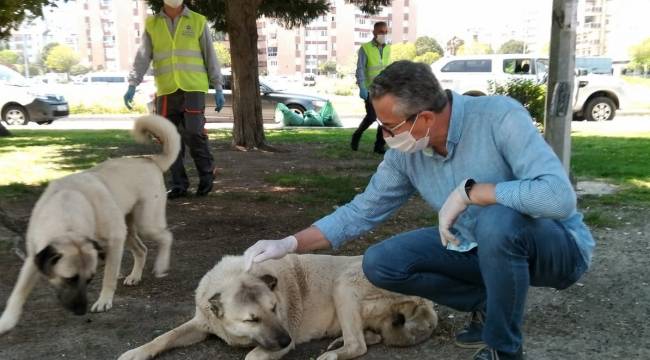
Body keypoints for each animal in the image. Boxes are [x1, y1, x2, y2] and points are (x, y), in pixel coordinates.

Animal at [0, 113, 178, 334]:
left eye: (90, 279)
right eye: (69, 279)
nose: (81, 311)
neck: (67, 211)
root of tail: (150, 159)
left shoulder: (115, 241)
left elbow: (109, 276)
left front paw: (104, 301)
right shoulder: (34, 257)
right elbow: (18, 292)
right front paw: (6, 321)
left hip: (146, 224)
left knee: (166, 237)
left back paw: (161, 266)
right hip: (129, 230)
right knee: (142, 250)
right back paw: (134, 276)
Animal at [119, 253, 438, 360]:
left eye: (274, 309)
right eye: (251, 319)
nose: (287, 340)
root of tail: (427, 301)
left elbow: (251, 357)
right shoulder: (201, 324)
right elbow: (164, 337)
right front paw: (137, 352)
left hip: (343, 285)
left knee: (358, 345)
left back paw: (334, 354)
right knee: (368, 337)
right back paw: (340, 342)